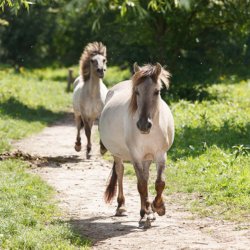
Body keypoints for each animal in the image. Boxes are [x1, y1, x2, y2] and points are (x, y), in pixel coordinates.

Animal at [99, 62, 174, 229]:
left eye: (157, 91)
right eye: (137, 92)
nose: (143, 125)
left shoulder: (161, 155)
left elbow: (160, 182)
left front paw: (158, 208)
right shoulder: (136, 157)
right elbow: (142, 186)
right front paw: (146, 215)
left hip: (147, 158)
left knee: (145, 177)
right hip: (119, 154)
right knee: (120, 172)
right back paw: (122, 207)